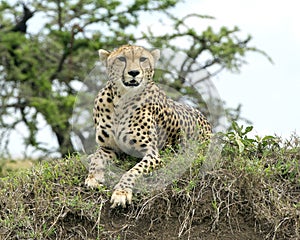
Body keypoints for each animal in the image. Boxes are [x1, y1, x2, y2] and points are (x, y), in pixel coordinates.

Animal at [84, 45, 211, 208]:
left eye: (143, 59)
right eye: (121, 59)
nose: (133, 72)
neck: (121, 99)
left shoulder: (152, 154)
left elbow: (133, 171)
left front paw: (121, 193)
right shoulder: (108, 147)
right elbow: (97, 159)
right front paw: (93, 177)